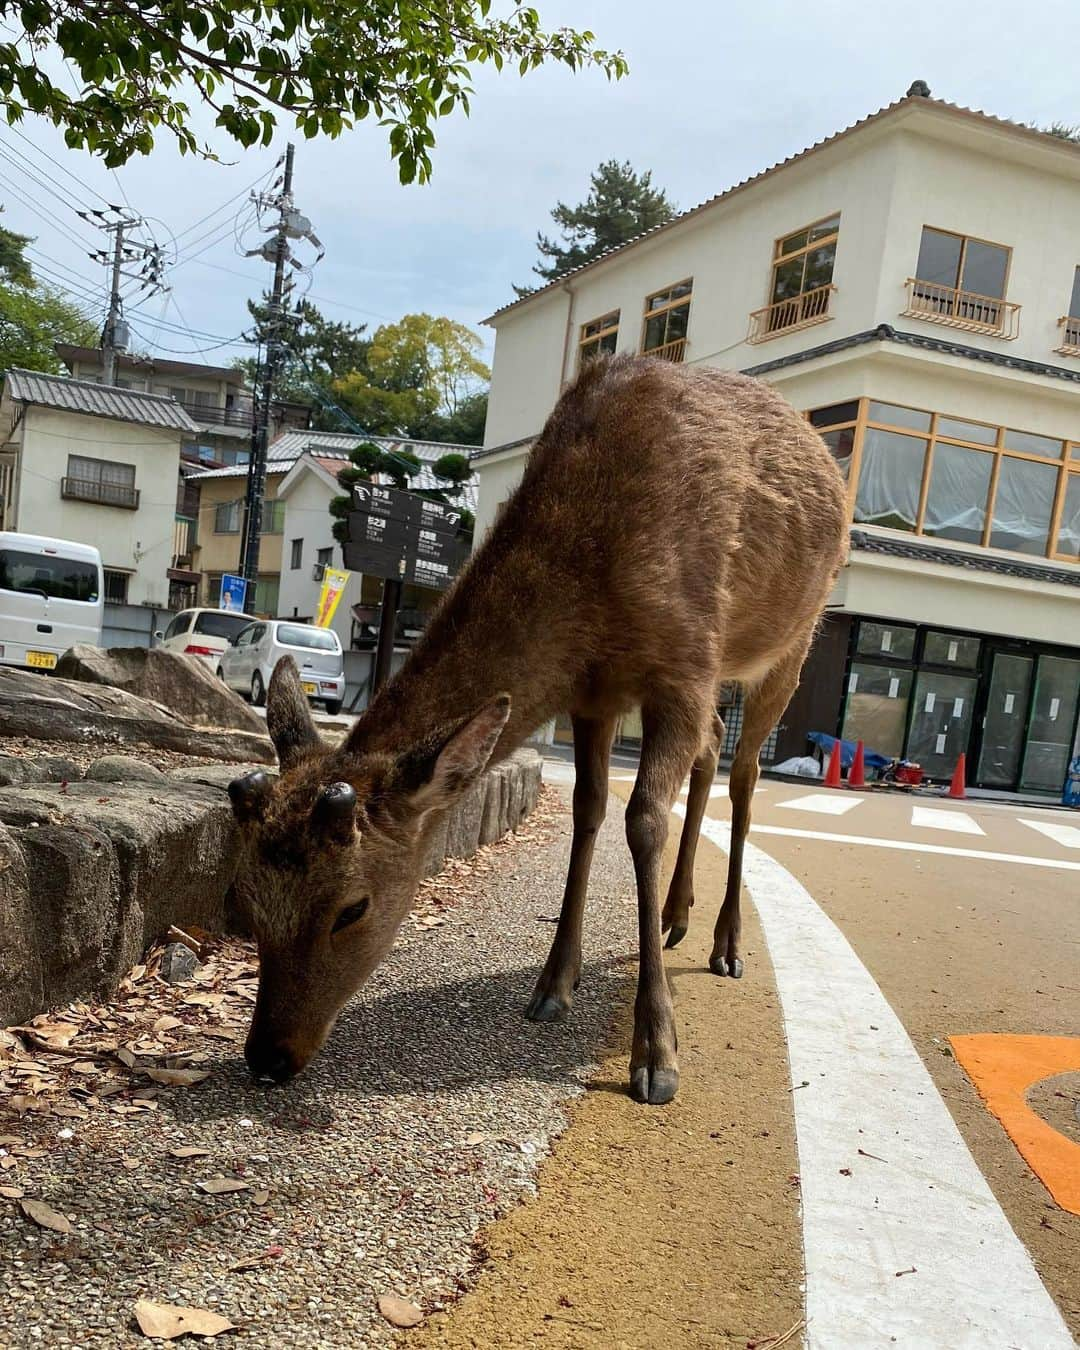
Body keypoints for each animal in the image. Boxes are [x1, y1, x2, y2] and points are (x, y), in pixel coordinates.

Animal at [229, 353, 853, 1101]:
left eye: (353, 907)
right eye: (243, 900)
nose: (267, 1057)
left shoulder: (683, 665)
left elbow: (643, 820)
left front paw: (657, 1054)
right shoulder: (595, 695)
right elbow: (588, 810)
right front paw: (554, 983)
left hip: (792, 641)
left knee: (746, 774)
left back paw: (726, 945)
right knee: (709, 753)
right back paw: (675, 917)